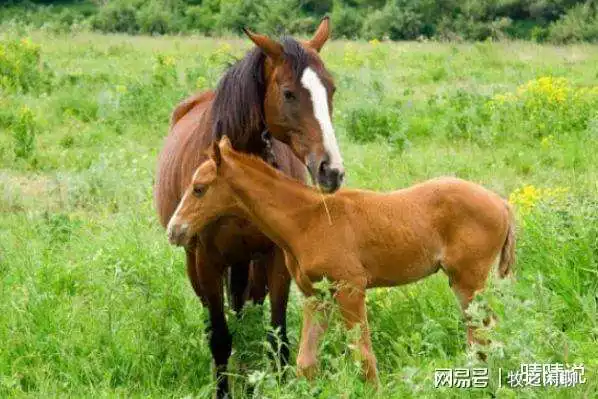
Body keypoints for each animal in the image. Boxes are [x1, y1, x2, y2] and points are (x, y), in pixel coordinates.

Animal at [152, 17, 344, 398]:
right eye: (288, 93)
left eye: (330, 90)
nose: (331, 170)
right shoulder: (207, 260)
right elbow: (220, 338)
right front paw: (223, 389)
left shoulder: (276, 256)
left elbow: (277, 333)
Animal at [166, 138, 516, 388]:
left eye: (199, 189)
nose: (174, 230)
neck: (308, 220)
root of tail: (502, 203)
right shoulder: (316, 296)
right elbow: (306, 363)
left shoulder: (350, 289)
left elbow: (364, 357)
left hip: (468, 280)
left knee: (485, 333)